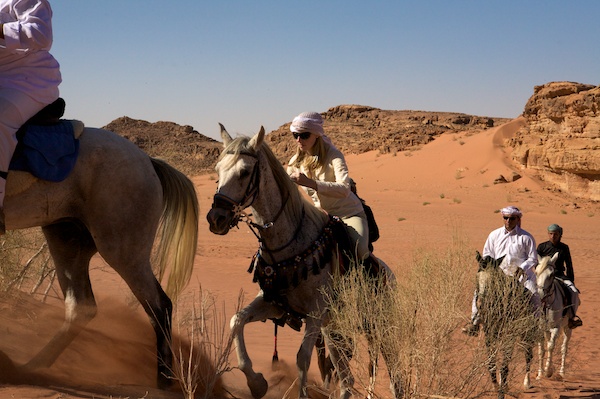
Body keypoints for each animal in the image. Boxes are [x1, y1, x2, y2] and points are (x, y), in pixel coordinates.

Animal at [207, 126, 404, 399]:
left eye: (245, 172)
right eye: (217, 169)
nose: (216, 218)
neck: (290, 244)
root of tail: (388, 273)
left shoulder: (314, 315)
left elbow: (302, 358)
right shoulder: (274, 305)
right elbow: (237, 321)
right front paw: (257, 383)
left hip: (377, 324)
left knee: (391, 371)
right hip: (335, 330)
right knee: (346, 378)